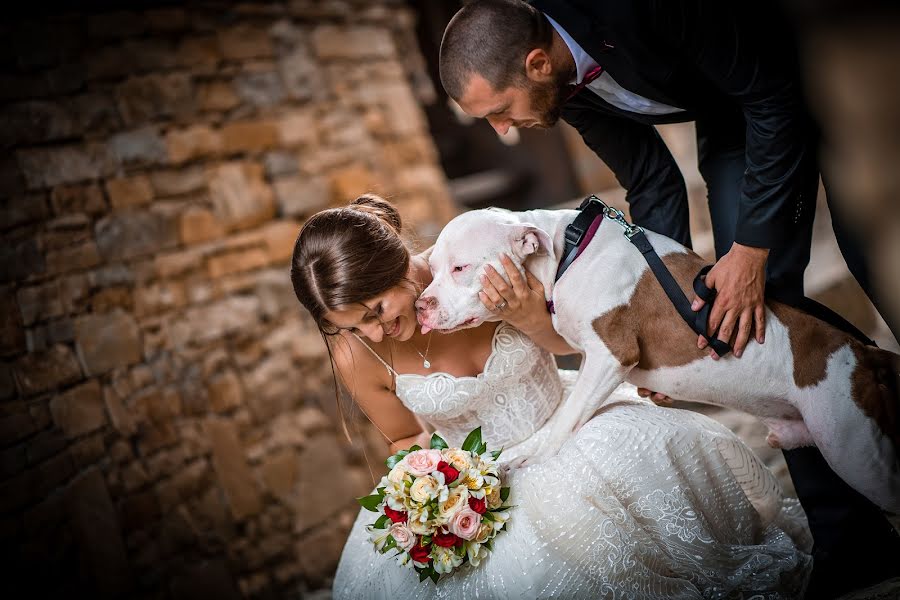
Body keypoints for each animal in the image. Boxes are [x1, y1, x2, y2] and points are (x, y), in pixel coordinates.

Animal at [418, 206, 900, 510]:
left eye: (460, 268)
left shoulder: (610, 357)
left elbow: (564, 419)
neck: (565, 252)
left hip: (852, 448)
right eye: (433, 270)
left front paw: (531, 460)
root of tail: (865, 353)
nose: (421, 305)